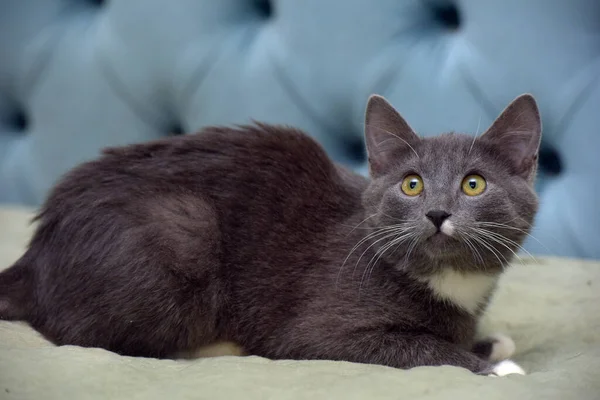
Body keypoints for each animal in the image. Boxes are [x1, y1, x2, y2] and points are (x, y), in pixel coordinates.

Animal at [0, 93, 540, 376]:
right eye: (412, 184)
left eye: (474, 184)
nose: (436, 212)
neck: (451, 282)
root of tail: (35, 254)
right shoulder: (316, 330)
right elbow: (421, 348)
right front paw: (491, 368)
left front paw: (490, 345)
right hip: (182, 224)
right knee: (88, 336)